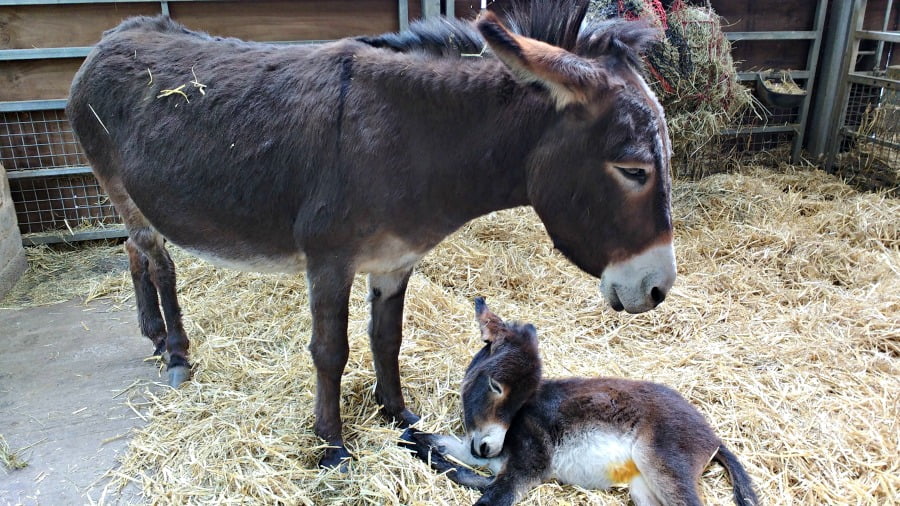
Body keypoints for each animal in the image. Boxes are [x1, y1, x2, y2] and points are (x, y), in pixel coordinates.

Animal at [400, 296, 760, 506]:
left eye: (525, 399)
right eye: (494, 385)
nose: (489, 448)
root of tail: (713, 437)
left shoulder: (527, 468)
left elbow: (490, 496)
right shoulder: (476, 453)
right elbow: (417, 439)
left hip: (663, 464)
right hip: (644, 487)